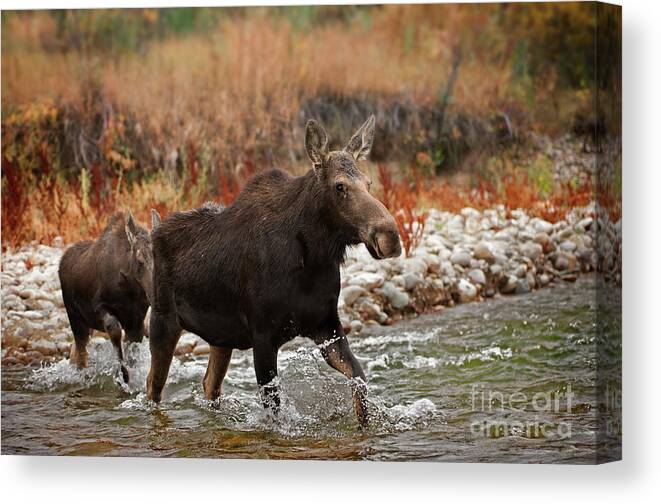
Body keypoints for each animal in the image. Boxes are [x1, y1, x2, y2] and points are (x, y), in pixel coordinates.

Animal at [146, 116, 400, 428]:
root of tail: (154, 229)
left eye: (369, 183)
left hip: (221, 337)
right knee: (152, 387)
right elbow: (275, 411)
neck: (312, 258)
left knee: (209, 385)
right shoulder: (263, 335)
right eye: (340, 186)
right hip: (162, 322)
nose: (389, 236)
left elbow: (360, 381)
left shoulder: (326, 325)